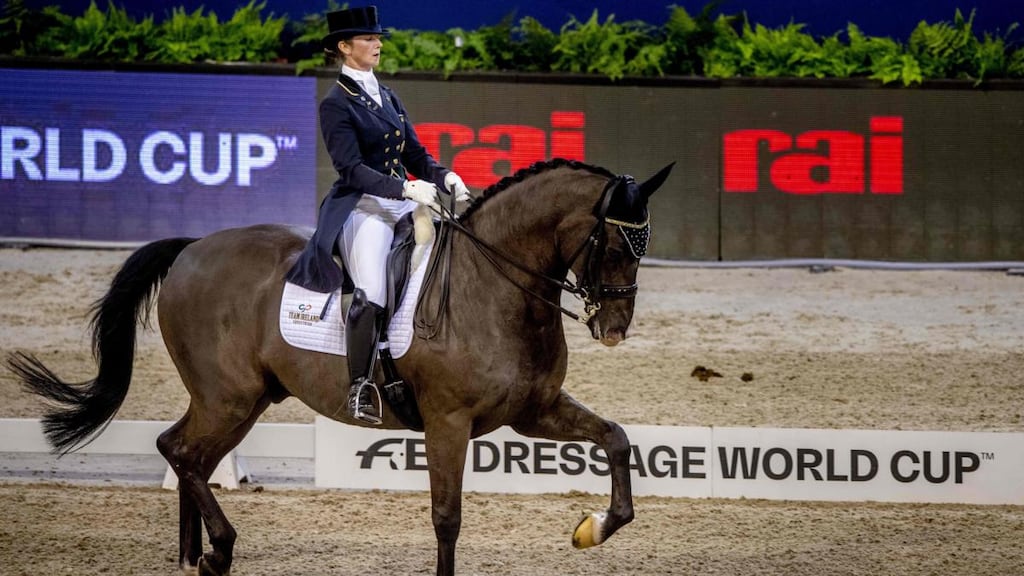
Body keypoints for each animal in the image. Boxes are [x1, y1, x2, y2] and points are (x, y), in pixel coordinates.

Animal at [7, 158, 673, 576]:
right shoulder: (449, 422)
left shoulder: (534, 412)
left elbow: (616, 440)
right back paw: (219, 550)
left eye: (644, 246)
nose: (614, 330)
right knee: (179, 451)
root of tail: (193, 247)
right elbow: (447, 518)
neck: (492, 286)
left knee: (187, 453)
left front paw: (593, 528)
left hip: (243, 401)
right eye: (616, 244)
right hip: (229, 397)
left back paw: (199, 556)